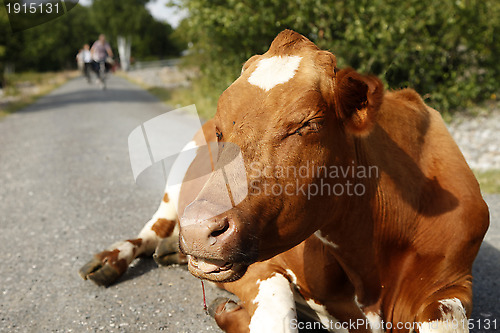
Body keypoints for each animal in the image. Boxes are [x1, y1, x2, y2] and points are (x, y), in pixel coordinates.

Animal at [80, 29, 490, 330]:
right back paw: (112, 259)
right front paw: (228, 311)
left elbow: (444, 319)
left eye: (308, 123)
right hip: (175, 184)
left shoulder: (453, 281)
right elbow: (277, 313)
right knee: (151, 229)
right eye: (220, 130)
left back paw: (171, 252)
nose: (198, 230)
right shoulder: (260, 266)